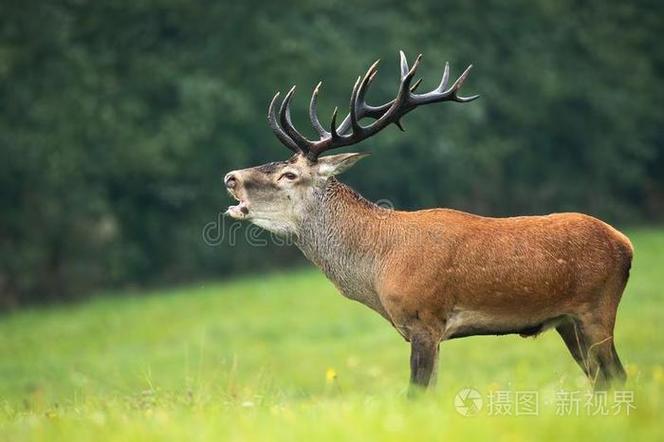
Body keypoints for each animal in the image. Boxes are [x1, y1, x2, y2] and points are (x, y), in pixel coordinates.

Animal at [223, 51, 633, 393]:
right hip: (566, 320)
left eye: (289, 174)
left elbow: (416, 394)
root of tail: (624, 243)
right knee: (602, 379)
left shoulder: (425, 318)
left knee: (617, 374)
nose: (230, 177)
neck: (377, 265)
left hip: (597, 307)